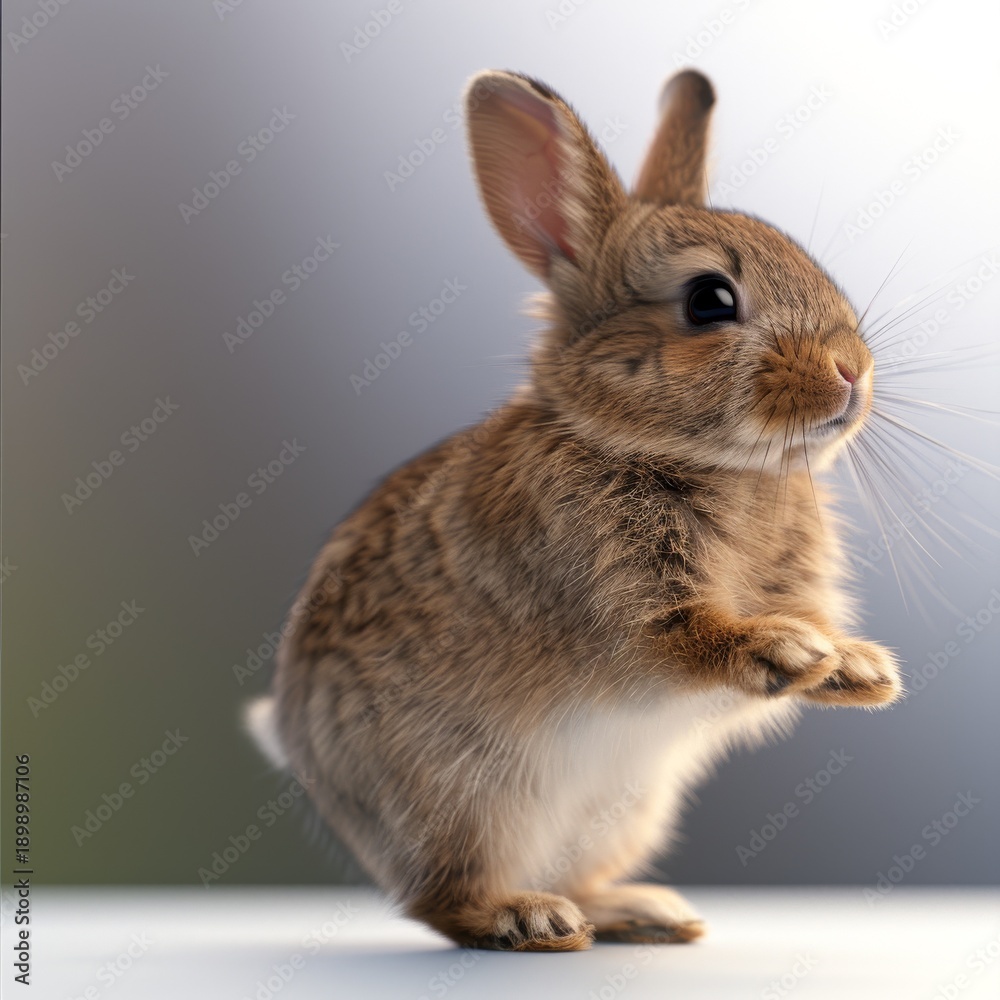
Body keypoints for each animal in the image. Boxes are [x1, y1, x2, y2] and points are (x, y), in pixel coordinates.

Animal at [246, 67, 902, 952]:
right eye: (709, 300)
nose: (850, 371)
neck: (706, 461)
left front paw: (859, 668)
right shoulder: (619, 602)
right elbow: (681, 643)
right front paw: (789, 650)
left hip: (621, 812)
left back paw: (640, 911)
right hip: (466, 798)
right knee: (441, 898)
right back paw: (525, 917)